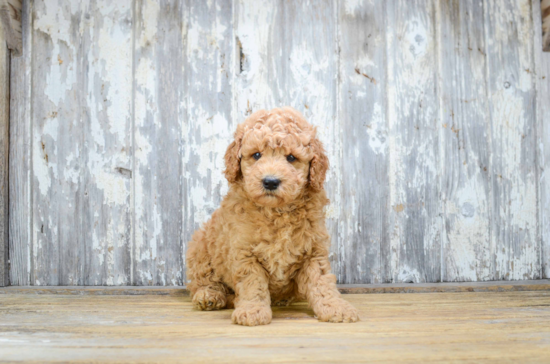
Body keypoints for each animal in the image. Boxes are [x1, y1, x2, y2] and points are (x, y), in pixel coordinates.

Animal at [189, 106, 362, 326]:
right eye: (256, 155)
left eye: (291, 158)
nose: (270, 181)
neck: (277, 212)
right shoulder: (245, 253)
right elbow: (252, 283)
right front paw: (252, 310)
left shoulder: (313, 250)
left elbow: (322, 281)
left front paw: (335, 307)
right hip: (200, 247)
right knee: (203, 280)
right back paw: (209, 296)